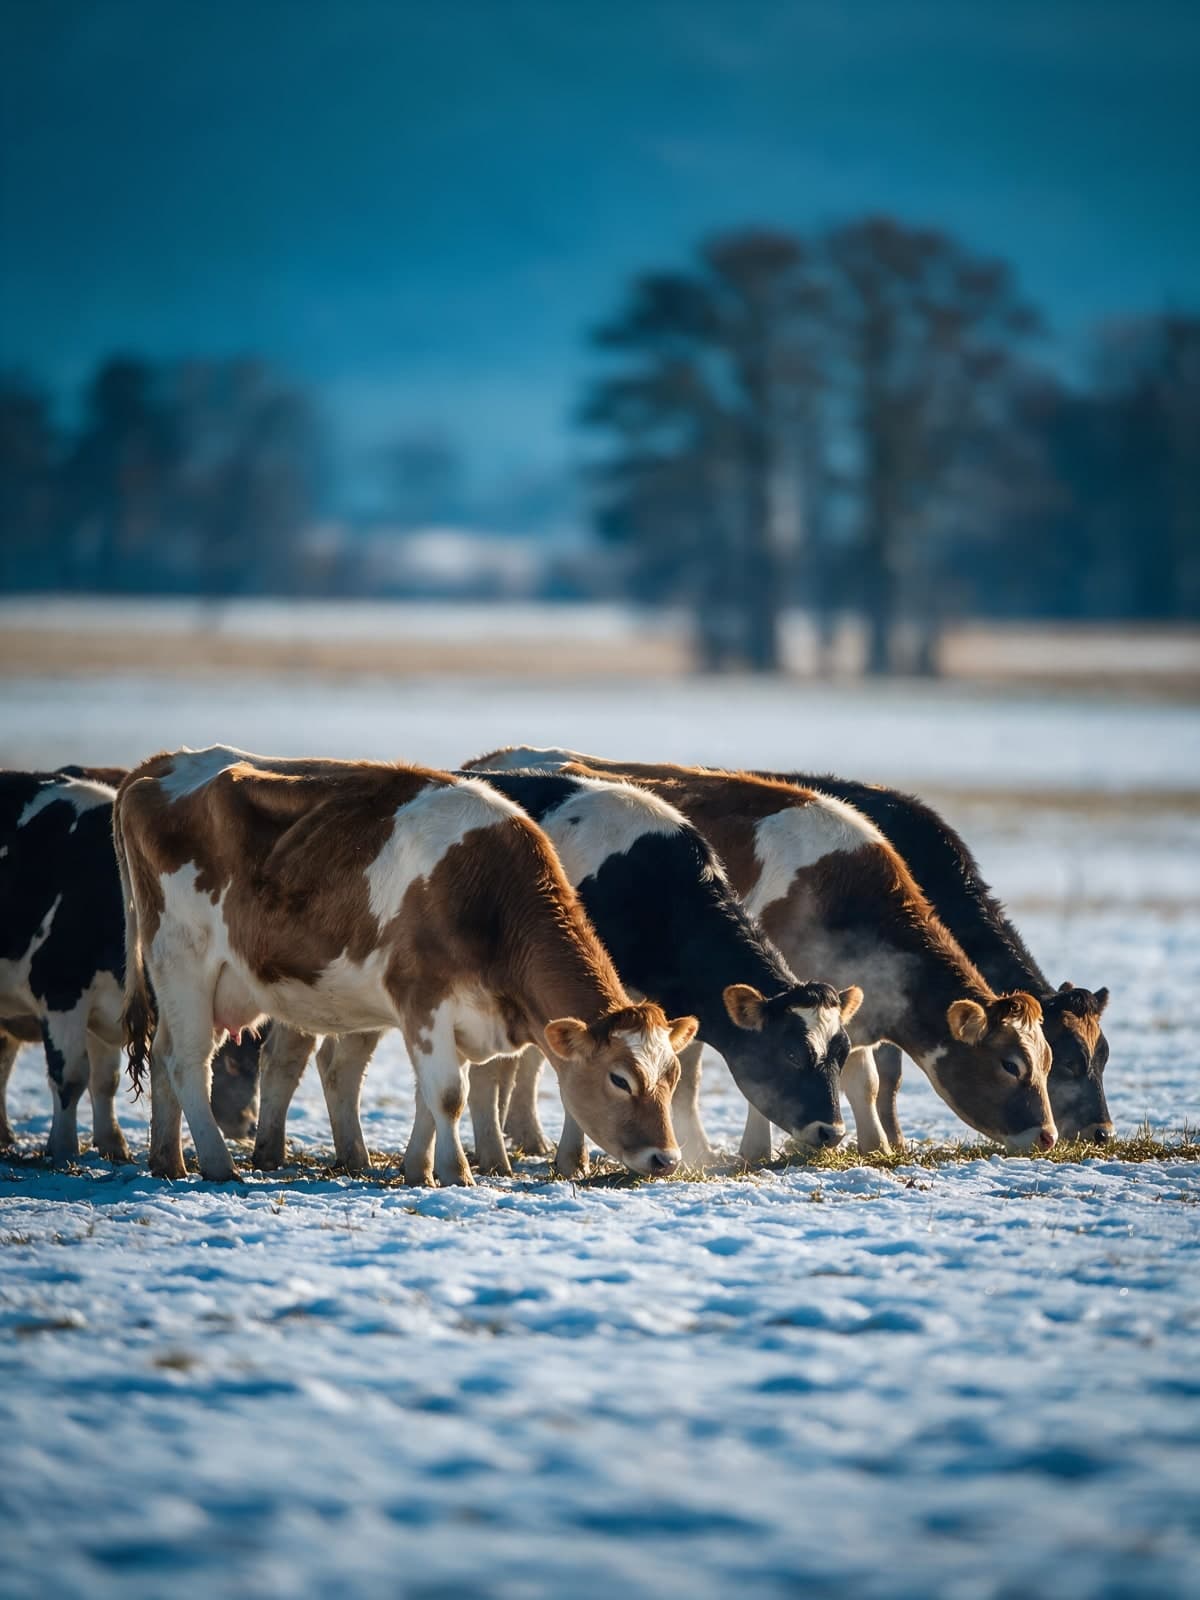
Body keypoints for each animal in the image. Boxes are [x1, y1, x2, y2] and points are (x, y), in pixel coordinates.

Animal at [0, 769, 262, 1162]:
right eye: (228, 1063)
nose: (247, 1125)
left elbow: (104, 1081)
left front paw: (113, 1145)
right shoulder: (61, 991)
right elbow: (71, 1076)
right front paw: (63, 1149)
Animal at [113, 747, 697, 1184]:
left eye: (671, 1075)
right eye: (620, 1079)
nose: (666, 1158)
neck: (486, 893)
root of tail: (161, 764)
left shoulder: (446, 1018)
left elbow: (427, 1100)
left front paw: (420, 1169)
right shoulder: (423, 996)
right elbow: (448, 1095)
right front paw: (458, 1174)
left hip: (202, 982)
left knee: (164, 1056)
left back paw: (168, 1160)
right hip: (184, 960)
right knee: (188, 1061)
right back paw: (216, 1165)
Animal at [251, 770, 861, 1174]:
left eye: (841, 1054)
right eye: (789, 1054)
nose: (831, 1130)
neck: (653, 885)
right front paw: (573, 1159)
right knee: (294, 1054)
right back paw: (275, 1152)